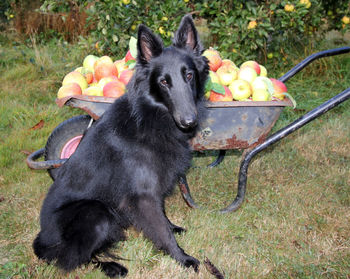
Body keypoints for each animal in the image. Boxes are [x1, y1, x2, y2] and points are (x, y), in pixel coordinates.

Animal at [33, 14, 208, 278]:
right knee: (72, 258)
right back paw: (111, 266)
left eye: (188, 75)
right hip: (96, 212)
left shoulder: (154, 190)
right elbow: (161, 230)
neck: (150, 117)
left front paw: (174, 228)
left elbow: (163, 215)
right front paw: (183, 259)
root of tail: (42, 240)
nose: (189, 121)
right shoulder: (143, 195)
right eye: (163, 82)